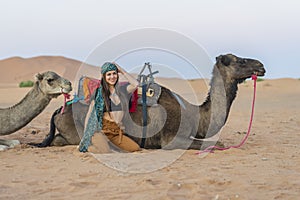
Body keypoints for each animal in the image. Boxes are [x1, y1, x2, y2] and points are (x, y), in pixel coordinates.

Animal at [37, 54, 264, 149]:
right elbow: (212, 144)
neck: (196, 115)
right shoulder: (172, 139)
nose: (261, 66)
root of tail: (58, 111)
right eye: (239, 60)